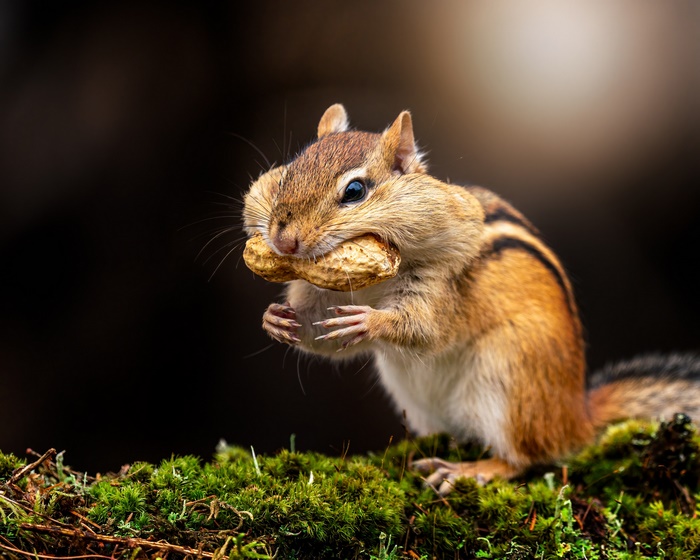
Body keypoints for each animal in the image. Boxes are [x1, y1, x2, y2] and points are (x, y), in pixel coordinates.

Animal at [242, 103, 700, 494]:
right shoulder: (320, 292)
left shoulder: (440, 286)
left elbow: (425, 329)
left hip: (509, 384)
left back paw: (468, 470)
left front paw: (369, 321)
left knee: (525, 459)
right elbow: (322, 340)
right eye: (286, 175)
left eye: (354, 191)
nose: (284, 241)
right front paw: (274, 318)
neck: (371, 281)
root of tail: (577, 416)